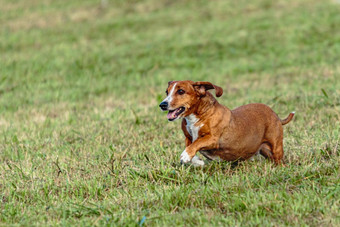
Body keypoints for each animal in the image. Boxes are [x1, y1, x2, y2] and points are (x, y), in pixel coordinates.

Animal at [158, 80, 294, 166]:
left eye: (181, 91)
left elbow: (197, 143)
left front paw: (186, 156)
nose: (162, 105)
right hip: (266, 151)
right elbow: (191, 146)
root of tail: (276, 116)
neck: (198, 115)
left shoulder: (213, 139)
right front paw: (197, 161)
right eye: (167, 92)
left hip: (276, 148)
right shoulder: (188, 137)